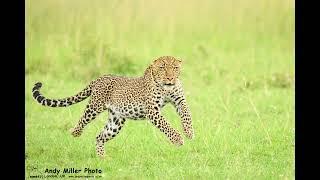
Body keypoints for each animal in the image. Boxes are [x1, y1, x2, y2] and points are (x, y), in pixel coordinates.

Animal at [31, 55, 195, 158]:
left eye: (175, 68)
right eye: (162, 67)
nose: (170, 78)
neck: (166, 88)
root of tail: (100, 78)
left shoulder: (179, 100)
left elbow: (186, 115)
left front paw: (189, 132)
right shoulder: (152, 110)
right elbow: (166, 125)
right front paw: (178, 139)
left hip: (116, 121)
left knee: (99, 136)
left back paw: (103, 159)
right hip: (95, 106)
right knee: (83, 119)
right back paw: (75, 132)